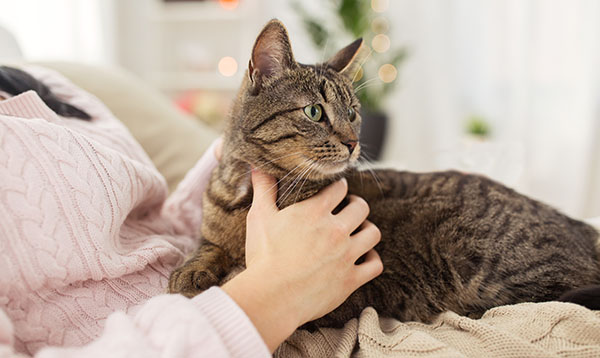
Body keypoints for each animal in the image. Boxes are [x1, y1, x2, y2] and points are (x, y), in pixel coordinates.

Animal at [169, 18, 600, 328]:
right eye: (314, 111)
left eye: (352, 112)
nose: (352, 142)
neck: (247, 193)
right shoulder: (212, 229)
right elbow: (207, 246)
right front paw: (192, 270)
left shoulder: (344, 296)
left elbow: (242, 277)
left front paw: (218, 281)